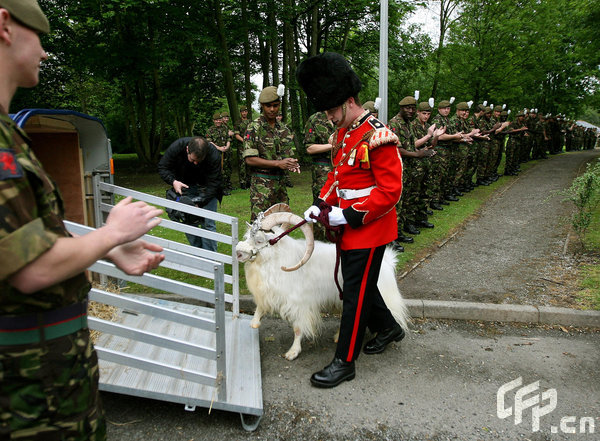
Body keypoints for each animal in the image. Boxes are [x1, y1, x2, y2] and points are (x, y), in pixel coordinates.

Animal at [237, 205, 410, 360]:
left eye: (259, 240)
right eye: (247, 237)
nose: (239, 253)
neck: (277, 259)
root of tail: (387, 262)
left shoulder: (299, 303)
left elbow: (298, 328)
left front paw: (293, 352)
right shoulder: (269, 292)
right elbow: (260, 307)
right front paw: (254, 323)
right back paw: (339, 336)